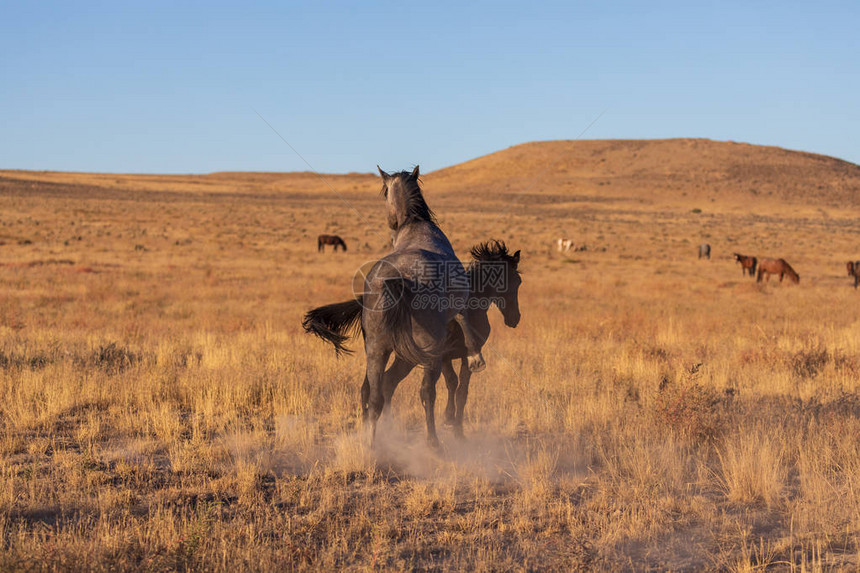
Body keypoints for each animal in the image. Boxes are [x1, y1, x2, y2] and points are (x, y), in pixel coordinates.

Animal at [304, 165, 490, 446]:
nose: (390, 223)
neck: (415, 227)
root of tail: (397, 280)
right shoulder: (458, 302)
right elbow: (463, 320)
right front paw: (475, 356)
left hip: (376, 350)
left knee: (374, 397)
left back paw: (372, 445)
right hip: (428, 353)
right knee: (426, 393)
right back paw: (434, 445)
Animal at [366, 239, 520, 436]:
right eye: (517, 281)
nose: (515, 318)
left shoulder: (454, 357)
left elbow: (458, 388)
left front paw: (453, 423)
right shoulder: (447, 356)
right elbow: (456, 385)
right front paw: (452, 423)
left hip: (404, 358)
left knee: (388, 382)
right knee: (390, 382)